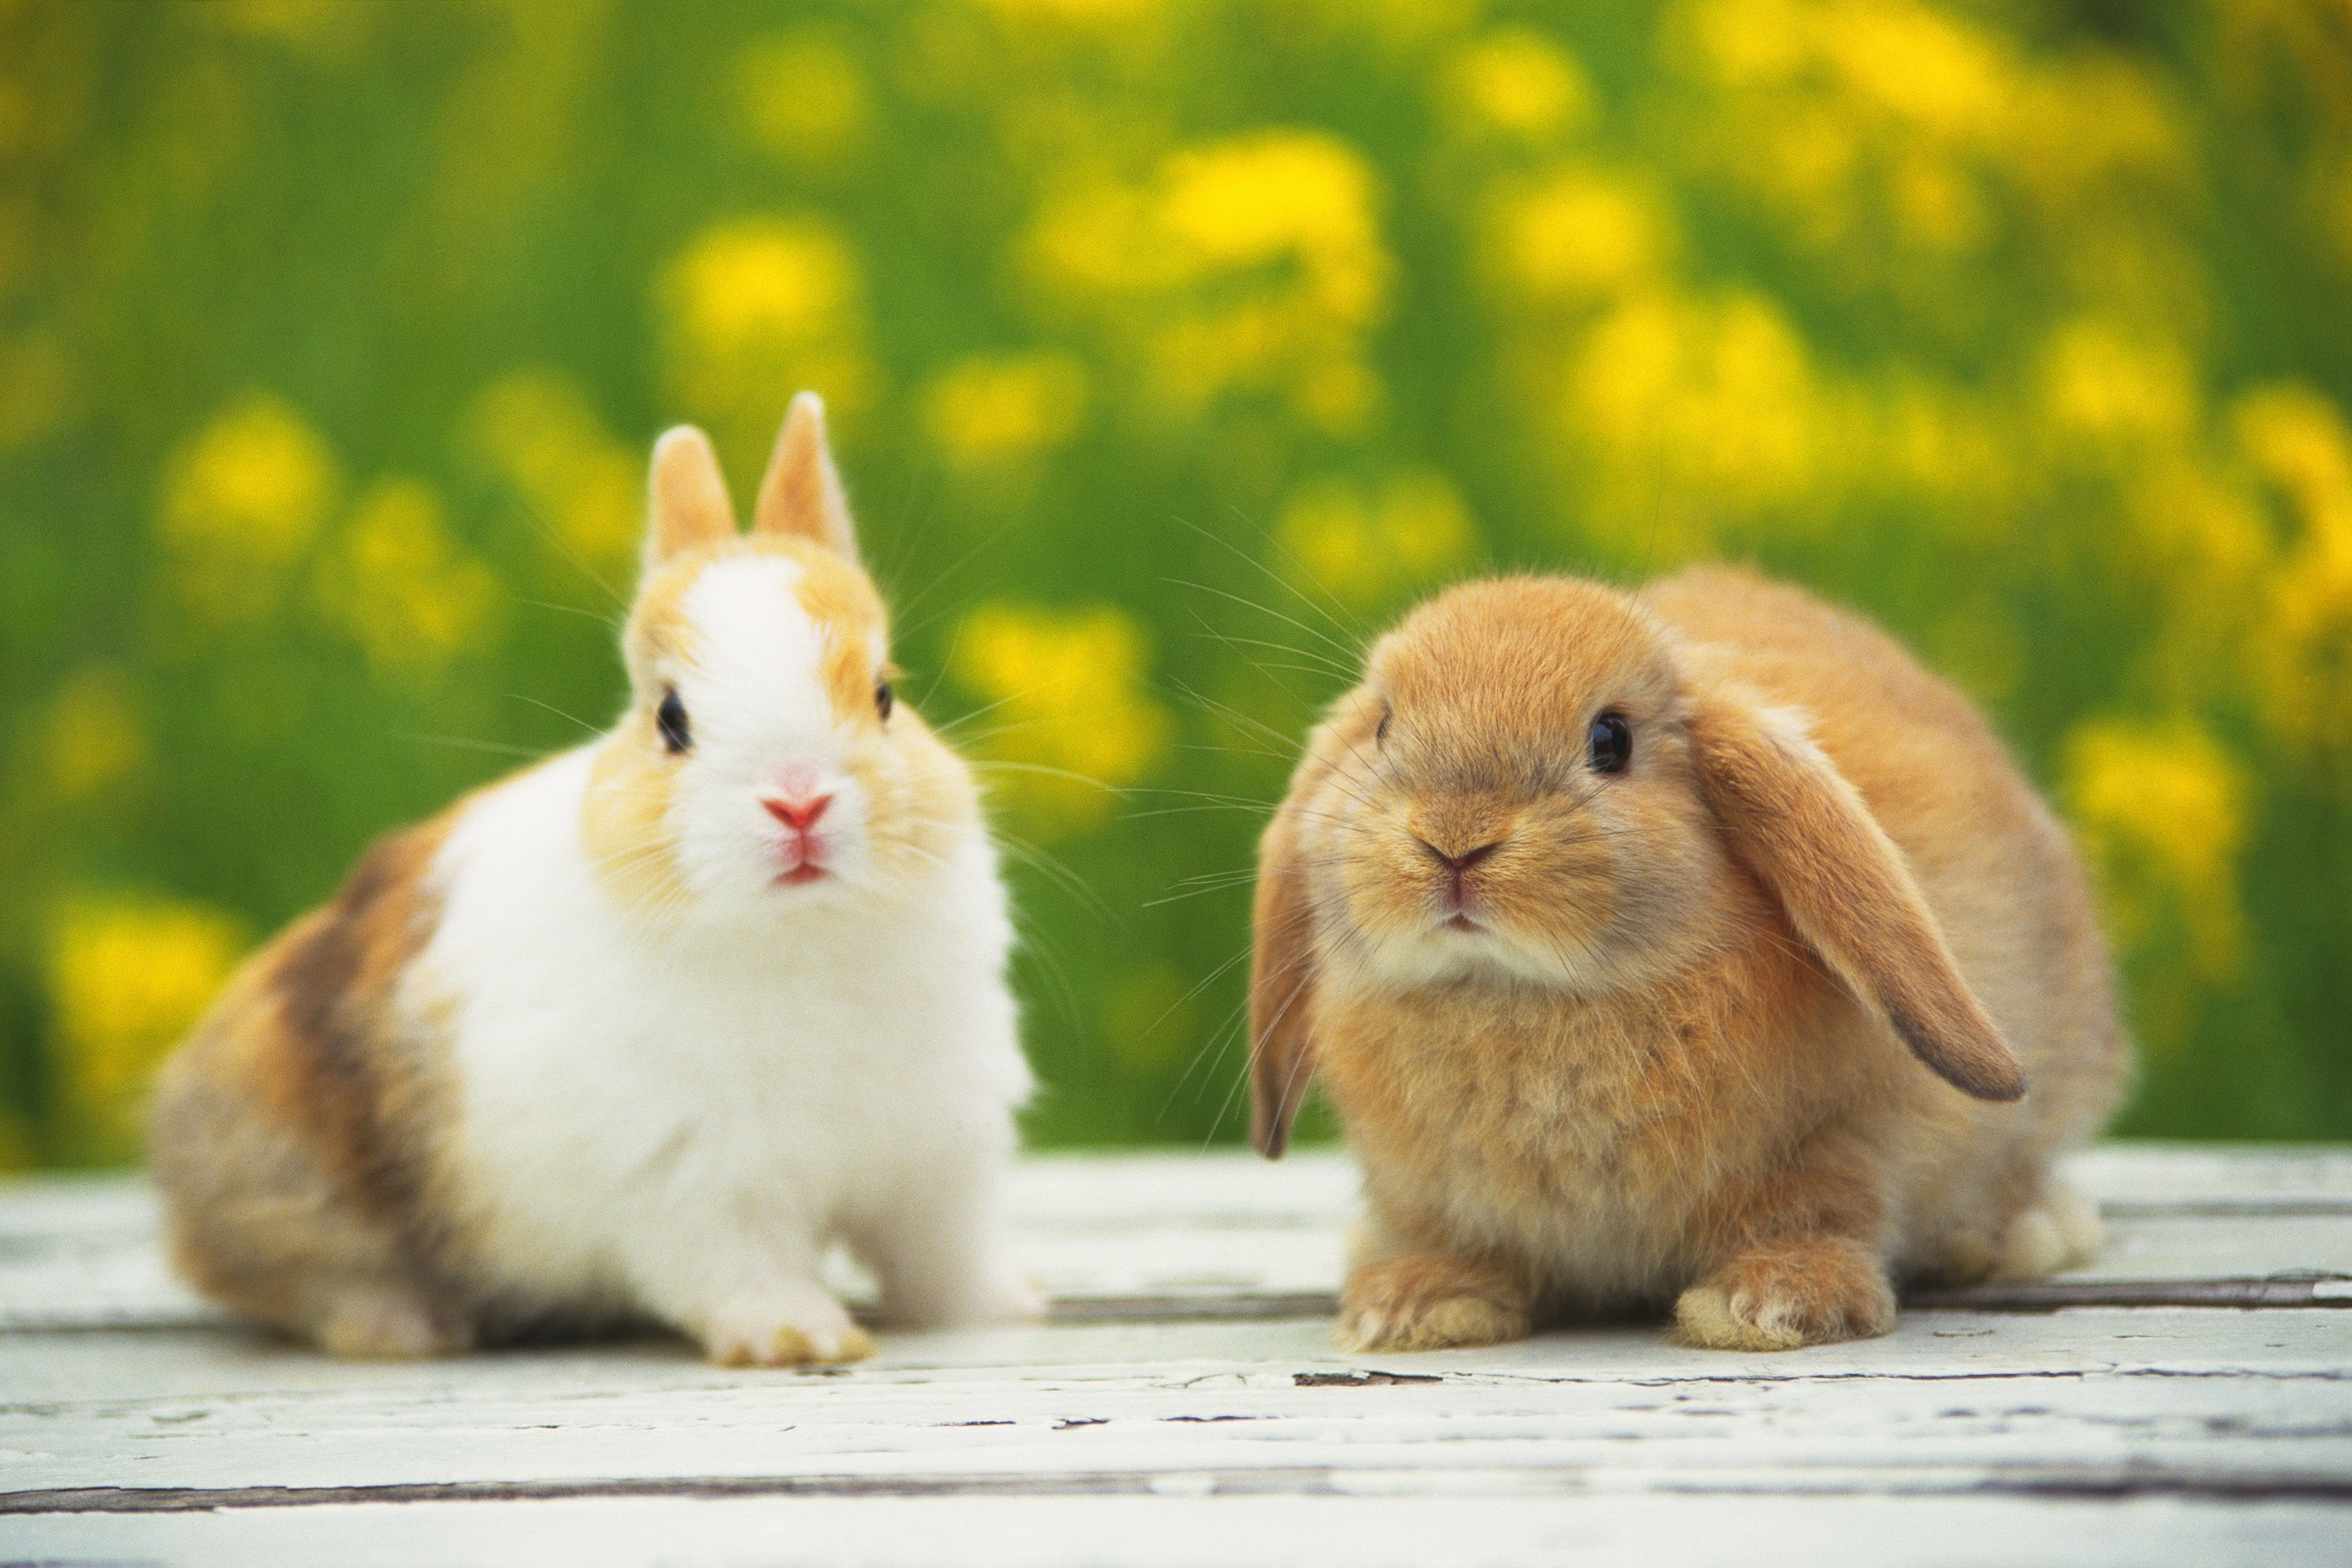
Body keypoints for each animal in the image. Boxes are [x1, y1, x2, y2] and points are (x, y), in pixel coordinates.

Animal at [150, 394, 1035, 1364]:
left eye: (884, 694)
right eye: (671, 719)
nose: (798, 801)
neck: (802, 935)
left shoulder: (936, 1163)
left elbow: (941, 1259)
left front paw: (1002, 1310)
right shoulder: (695, 1183)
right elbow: (744, 1270)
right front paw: (800, 1340)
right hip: (292, 1167)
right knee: (278, 1277)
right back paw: (405, 1326)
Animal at [1248, 566, 2129, 1352]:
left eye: (1611, 741)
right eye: (1383, 727)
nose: (1454, 840)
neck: (1521, 996)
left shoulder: (1842, 1141)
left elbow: (1823, 1211)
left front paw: (1772, 1307)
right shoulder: (1433, 1194)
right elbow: (1452, 1241)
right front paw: (1415, 1306)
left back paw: (2019, 1235)